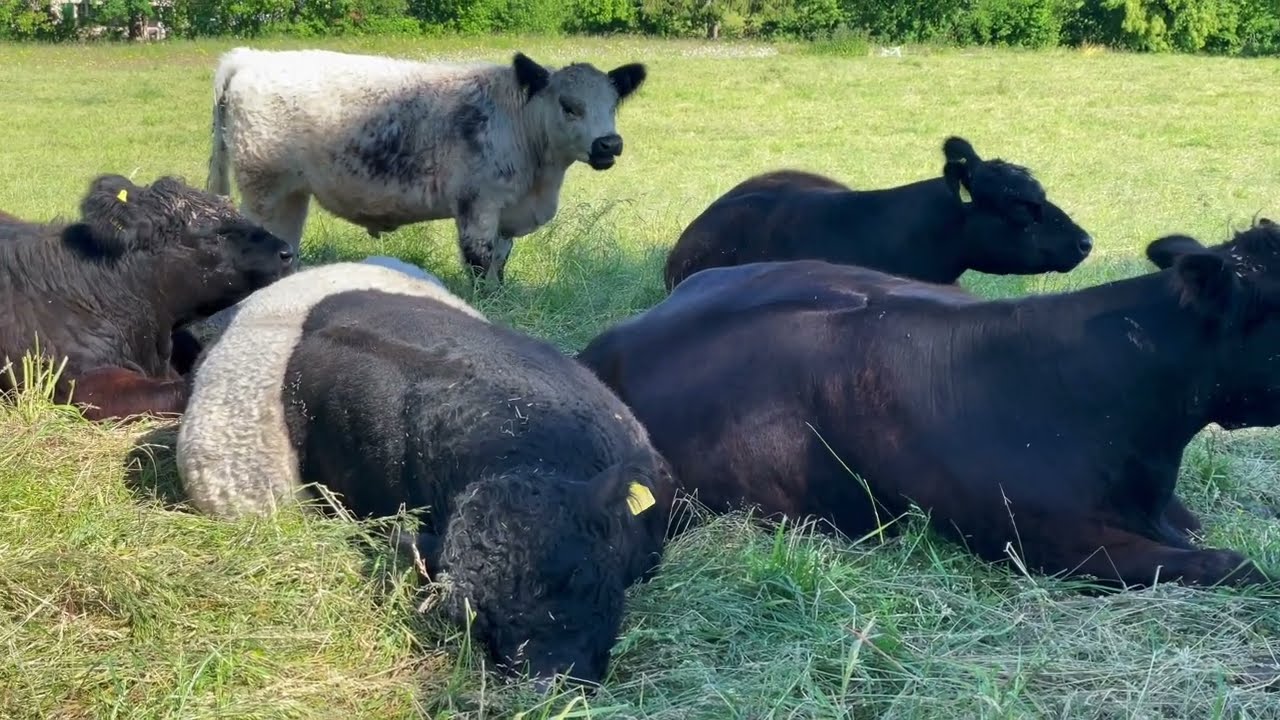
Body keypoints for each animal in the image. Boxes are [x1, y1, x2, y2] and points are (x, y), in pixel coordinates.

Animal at [208, 45, 650, 283]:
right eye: (568, 105)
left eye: (612, 103)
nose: (609, 144)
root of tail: (252, 59)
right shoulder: (478, 205)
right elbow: (480, 261)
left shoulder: (506, 212)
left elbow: (501, 261)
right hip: (264, 189)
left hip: (291, 195)